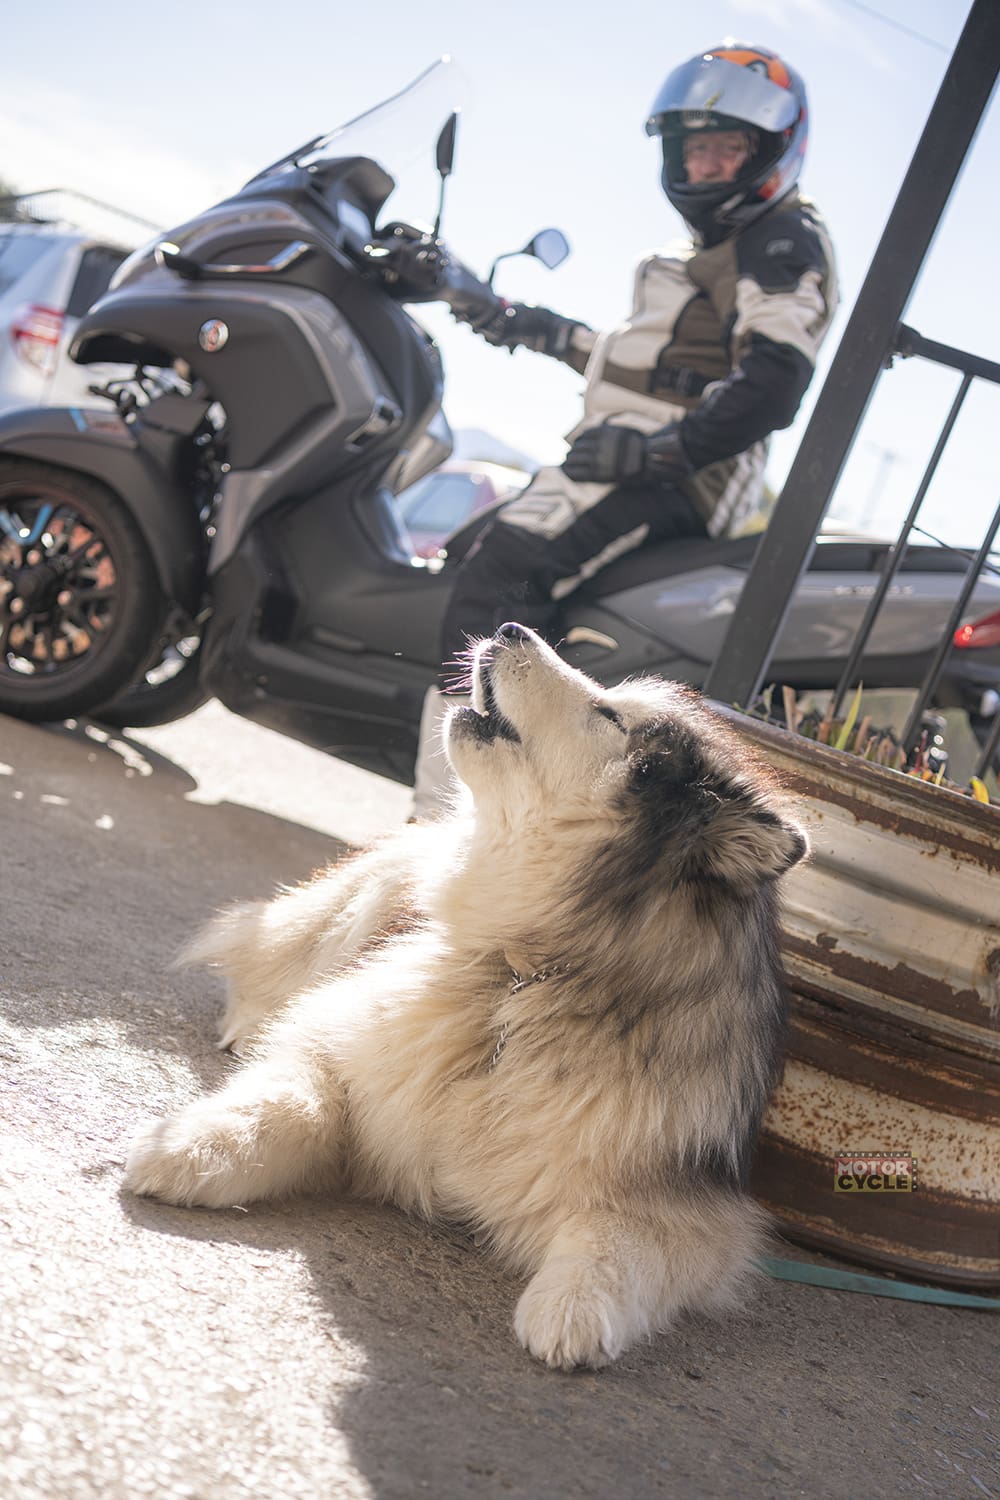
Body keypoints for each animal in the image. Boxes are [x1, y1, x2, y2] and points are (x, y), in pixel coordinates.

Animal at [125, 622, 807, 1370]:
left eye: (608, 715)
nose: (511, 629)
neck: (523, 975)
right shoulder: (349, 1060)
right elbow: (281, 1103)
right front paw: (185, 1147)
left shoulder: (691, 1208)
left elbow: (618, 1243)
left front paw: (572, 1310)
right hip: (370, 900)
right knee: (269, 953)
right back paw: (249, 1019)